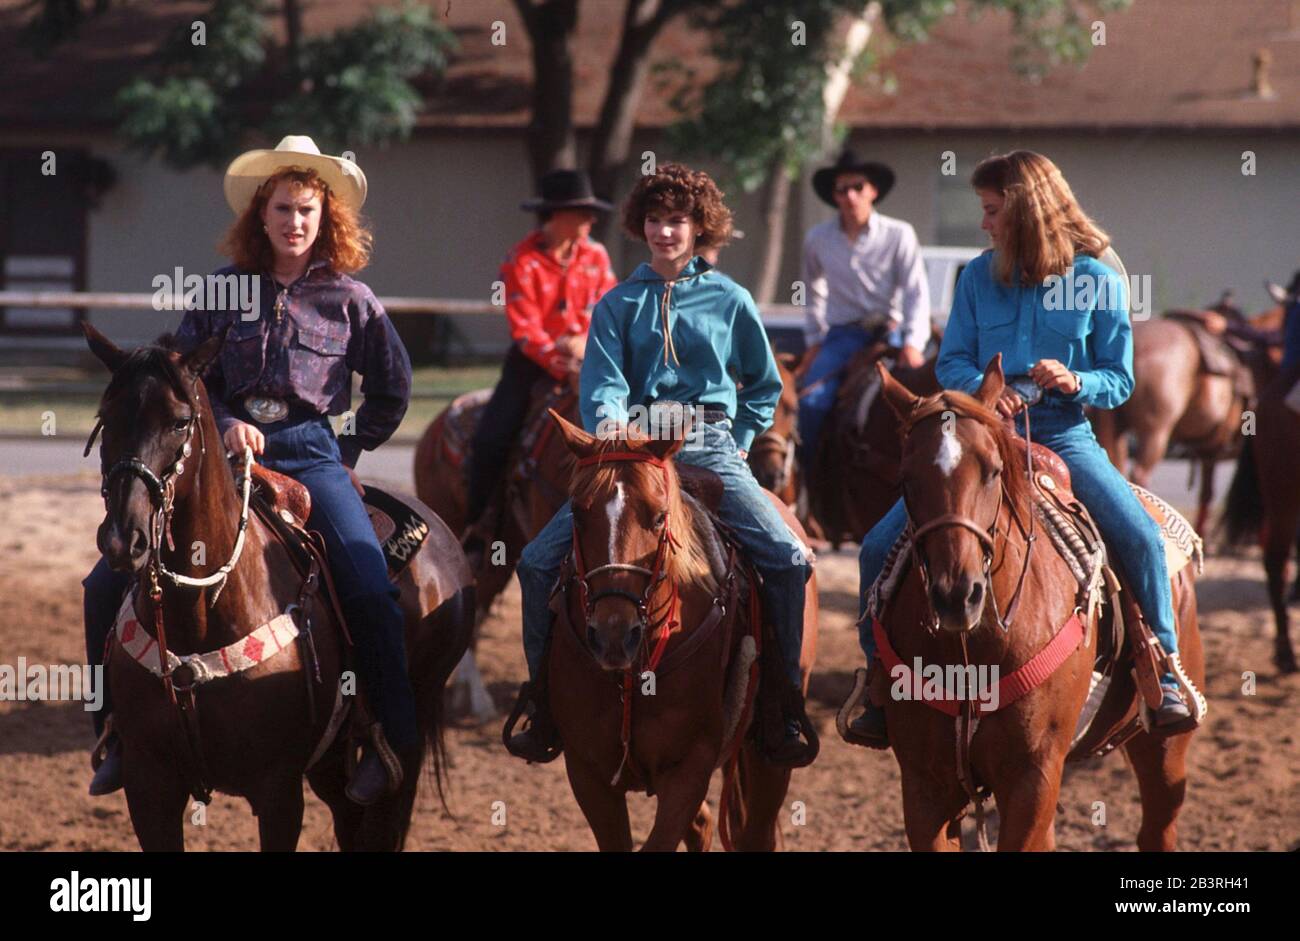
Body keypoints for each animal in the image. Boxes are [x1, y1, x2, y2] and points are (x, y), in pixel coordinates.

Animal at [79, 327, 473, 847]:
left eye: (180, 422)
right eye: (105, 418)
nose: (124, 539)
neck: (200, 613)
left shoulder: (278, 790)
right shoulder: (149, 786)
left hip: (410, 728)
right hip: (331, 762)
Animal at [543, 410, 816, 852]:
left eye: (658, 517)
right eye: (578, 515)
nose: (614, 635)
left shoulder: (690, 767)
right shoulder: (587, 771)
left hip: (769, 758)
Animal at [857, 356, 1201, 847]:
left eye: (992, 470)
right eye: (906, 478)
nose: (956, 595)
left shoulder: (1032, 777)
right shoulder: (925, 786)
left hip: (1162, 747)